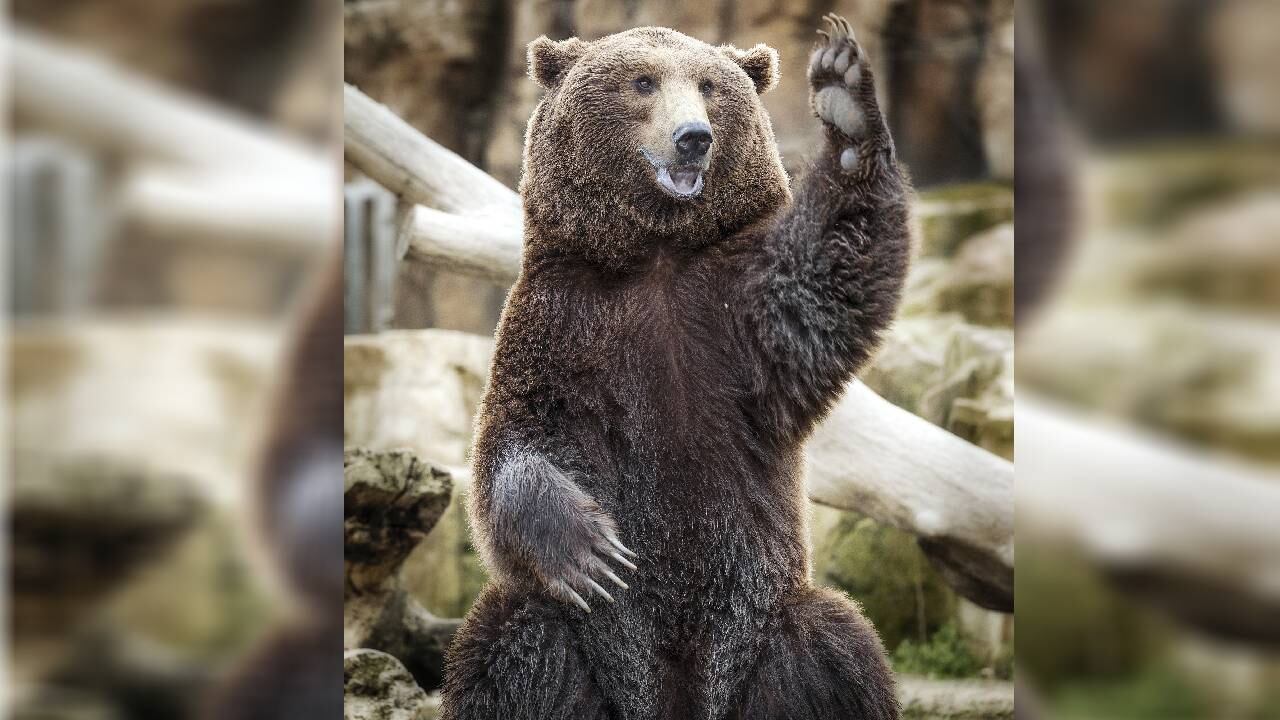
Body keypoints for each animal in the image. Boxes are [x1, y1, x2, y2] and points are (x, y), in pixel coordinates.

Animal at [442, 14, 911, 720]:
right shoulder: (561, 321)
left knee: (831, 650)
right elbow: (516, 437)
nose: (694, 137)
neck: (656, 252)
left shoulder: (740, 313)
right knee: (518, 647)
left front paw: (846, 102)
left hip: (761, 627)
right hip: (588, 647)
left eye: (711, 86)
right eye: (642, 81)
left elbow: (830, 272)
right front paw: (591, 551)